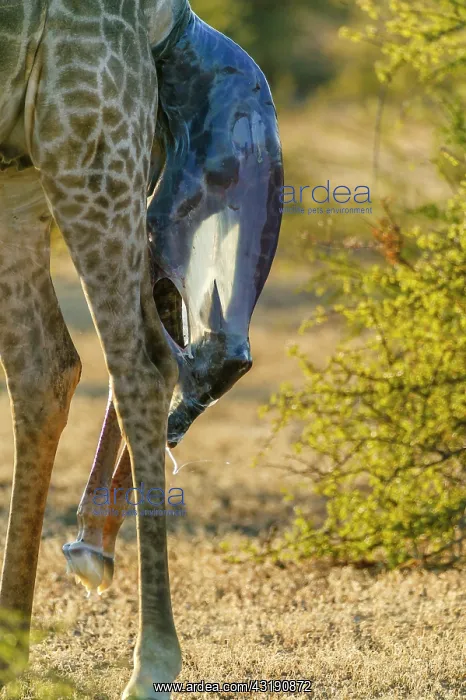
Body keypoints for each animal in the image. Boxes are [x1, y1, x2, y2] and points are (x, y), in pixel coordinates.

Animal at [0, 0, 190, 697]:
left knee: (143, 363)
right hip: (22, 172)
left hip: (85, 139)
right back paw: (11, 648)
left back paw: (151, 661)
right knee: (46, 367)